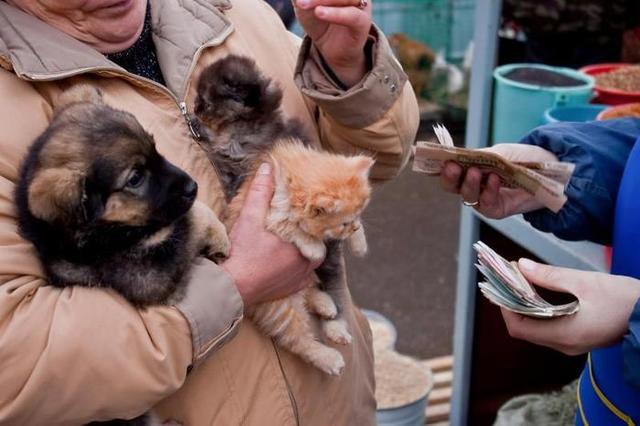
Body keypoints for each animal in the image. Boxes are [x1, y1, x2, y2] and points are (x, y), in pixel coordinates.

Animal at [15, 85, 231, 308]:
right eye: (135, 178)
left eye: (155, 148)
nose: (193, 187)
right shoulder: (152, 274)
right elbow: (196, 217)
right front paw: (220, 241)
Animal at [226, 141, 372, 376]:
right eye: (343, 223)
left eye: (358, 215)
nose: (354, 227)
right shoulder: (270, 216)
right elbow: (291, 227)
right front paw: (314, 248)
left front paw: (360, 242)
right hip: (282, 309)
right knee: (299, 341)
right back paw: (329, 358)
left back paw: (326, 304)